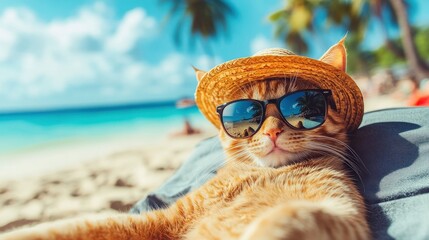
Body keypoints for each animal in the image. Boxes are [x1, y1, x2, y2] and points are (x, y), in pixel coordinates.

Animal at [0, 39, 368, 240]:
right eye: (247, 114)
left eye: (300, 106)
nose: (272, 131)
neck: (261, 174)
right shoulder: (161, 220)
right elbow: (70, 227)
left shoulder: (342, 214)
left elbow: (288, 217)